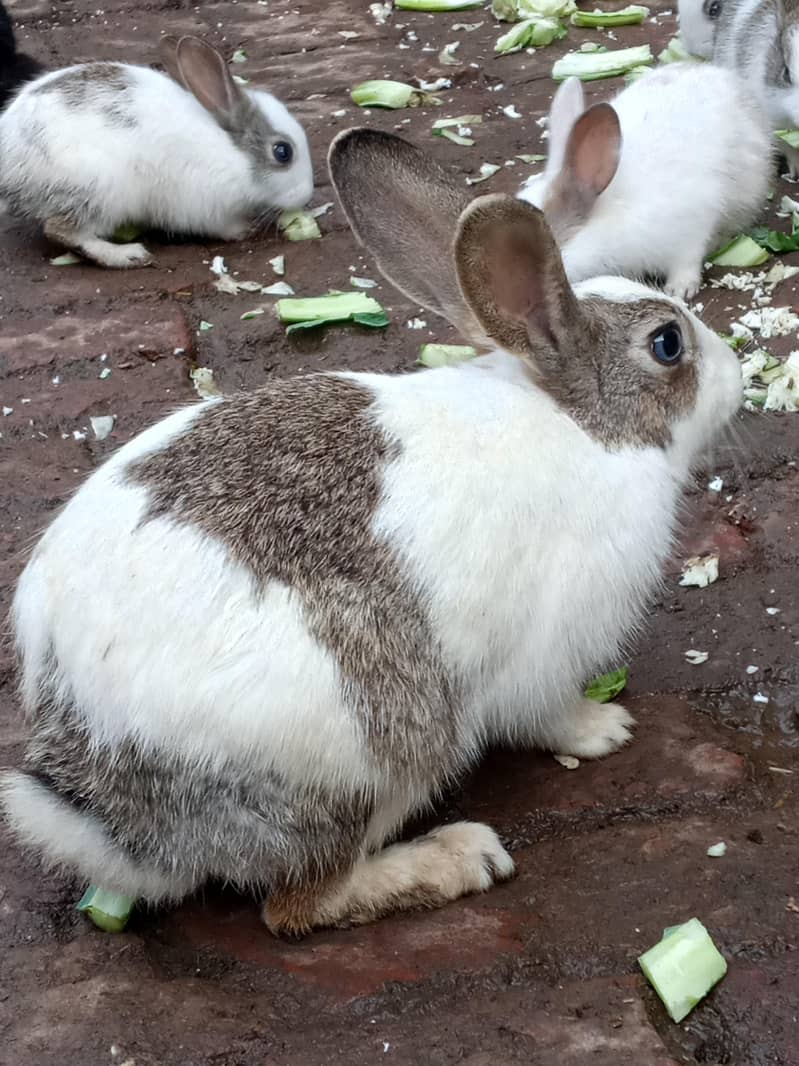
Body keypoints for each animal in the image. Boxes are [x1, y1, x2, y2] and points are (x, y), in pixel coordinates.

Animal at [0, 34, 313, 267]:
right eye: (283, 152)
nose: (307, 195)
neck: (231, 150)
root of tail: (9, 174)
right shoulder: (202, 204)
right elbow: (220, 226)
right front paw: (243, 230)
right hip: (97, 191)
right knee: (62, 230)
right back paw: (126, 255)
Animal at [0, 128, 744, 936]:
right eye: (668, 344)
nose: (736, 372)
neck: (585, 423)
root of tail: (104, 799)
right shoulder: (548, 649)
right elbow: (548, 715)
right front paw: (605, 729)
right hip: (382, 750)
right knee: (298, 905)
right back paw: (456, 858)